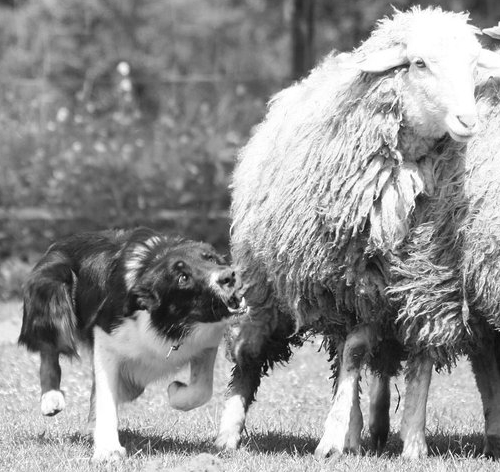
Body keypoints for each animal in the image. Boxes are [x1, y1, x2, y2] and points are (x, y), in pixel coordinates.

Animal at [18, 227, 245, 462]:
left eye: (210, 258)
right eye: (183, 277)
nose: (228, 276)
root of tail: (58, 243)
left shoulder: (206, 341)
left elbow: (202, 389)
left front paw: (176, 393)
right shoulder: (106, 337)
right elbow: (106, 397)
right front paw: (108, 449)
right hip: (56, 295)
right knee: (49, 350)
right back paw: (51, 398)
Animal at [214, 5, 500, 460]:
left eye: (475, 66)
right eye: (419, 63)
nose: (468, 120)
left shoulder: (428, 284)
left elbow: (416, 356)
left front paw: (413, 442)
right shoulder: (356, 286)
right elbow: (354, 353)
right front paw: (332, 439)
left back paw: (373, 428)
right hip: (266, 283)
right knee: (253, 348)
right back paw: (230, 433)